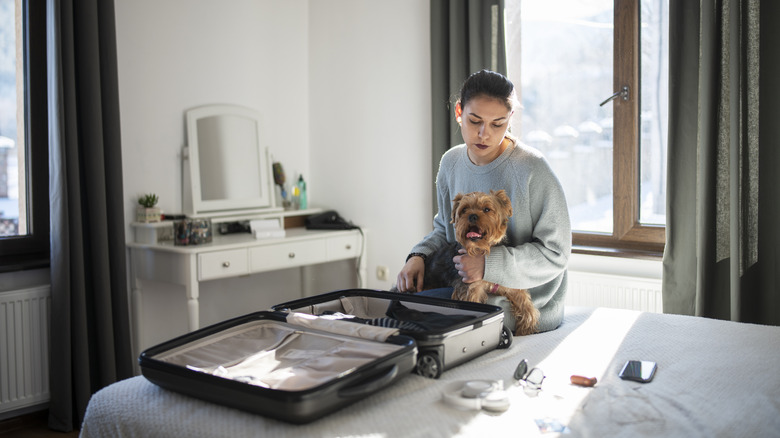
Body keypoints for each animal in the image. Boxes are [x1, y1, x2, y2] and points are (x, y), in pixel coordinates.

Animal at [448, 189, 540, 336]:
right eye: (464, 209)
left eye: (487, 209)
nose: (472, 216)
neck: (482, 249)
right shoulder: (471, 287)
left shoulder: (509, 283)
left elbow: (525, 303)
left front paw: (526, 328)